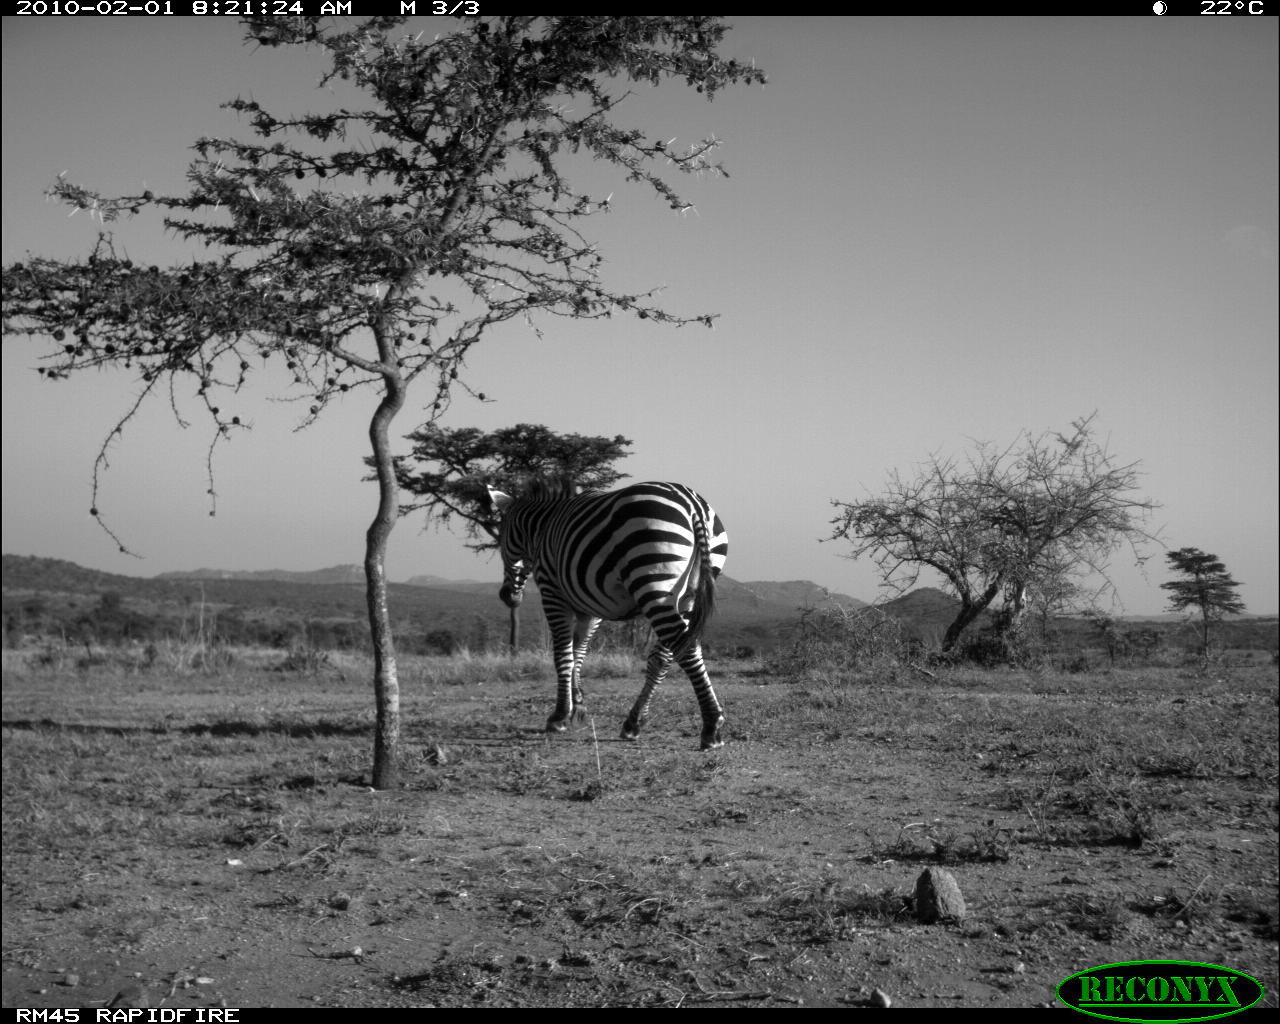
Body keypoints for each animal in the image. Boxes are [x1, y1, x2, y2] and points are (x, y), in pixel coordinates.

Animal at [483, 476, 732, 747]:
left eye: (502, 538)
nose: (506, 596)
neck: (542, 528)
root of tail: (692, 503)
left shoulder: (553, 593)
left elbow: (563, 655)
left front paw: (560, 715)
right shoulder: (590, 607)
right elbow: (578, 653)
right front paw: (578, 708)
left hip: (653, 578)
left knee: (683, 648)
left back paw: (711, 725)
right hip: (686, 595)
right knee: (665, 655)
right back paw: (634, 722)